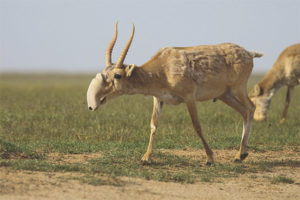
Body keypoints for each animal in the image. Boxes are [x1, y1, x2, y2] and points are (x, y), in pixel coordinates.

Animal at [86, 22, 262, 165]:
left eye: (117, 75)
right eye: (104, 73)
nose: (94, 103)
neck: (163, 68)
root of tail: (249, 53)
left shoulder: (190, 98)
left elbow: (197, 126)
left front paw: (210, 158)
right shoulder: (158, 99)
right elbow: (153, 124)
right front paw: (146, 158)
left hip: (238, 88)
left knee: (251, 108)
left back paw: (240, 154)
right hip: (225, 95)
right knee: (244, 111)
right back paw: (241, 155)